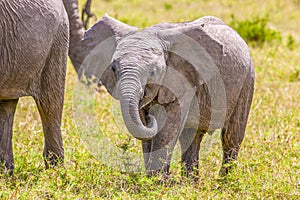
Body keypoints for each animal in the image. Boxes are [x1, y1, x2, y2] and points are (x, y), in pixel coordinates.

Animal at [82, 14, 255, 177]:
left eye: (153, 72)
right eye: (113, 68)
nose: (150, 118)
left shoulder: (182, 80)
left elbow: (167, 129)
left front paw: (156, 183)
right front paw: (150, 181)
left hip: (247, 79)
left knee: (231, 137)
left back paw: (224, 183)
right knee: (191, 138)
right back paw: (190, 184)